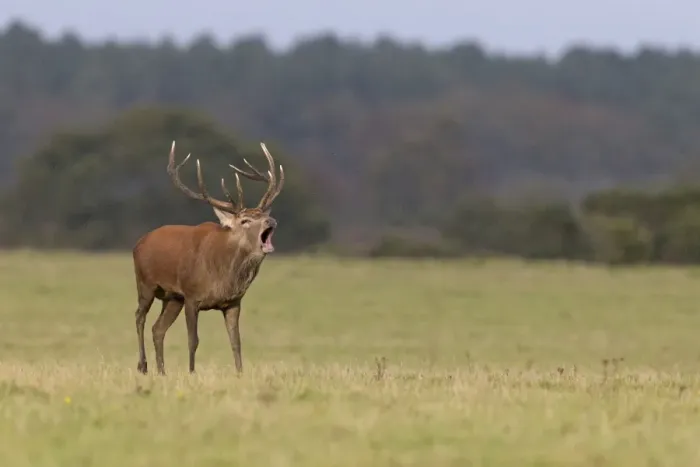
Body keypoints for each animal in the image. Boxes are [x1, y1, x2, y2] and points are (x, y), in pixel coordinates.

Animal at [132, 140, 284, 375]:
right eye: (245, 220)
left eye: (262, 215)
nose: (271, 221)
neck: (222, 277)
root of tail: (139, 243)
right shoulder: (192, 296)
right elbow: (193, 340)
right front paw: (192, 373)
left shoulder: (233, 302)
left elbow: (236, 342)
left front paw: (240, 374)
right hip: (145, 283)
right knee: (139, 317)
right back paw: (143, 366)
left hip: (172, 298)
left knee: (157, 328)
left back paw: (162, 371)